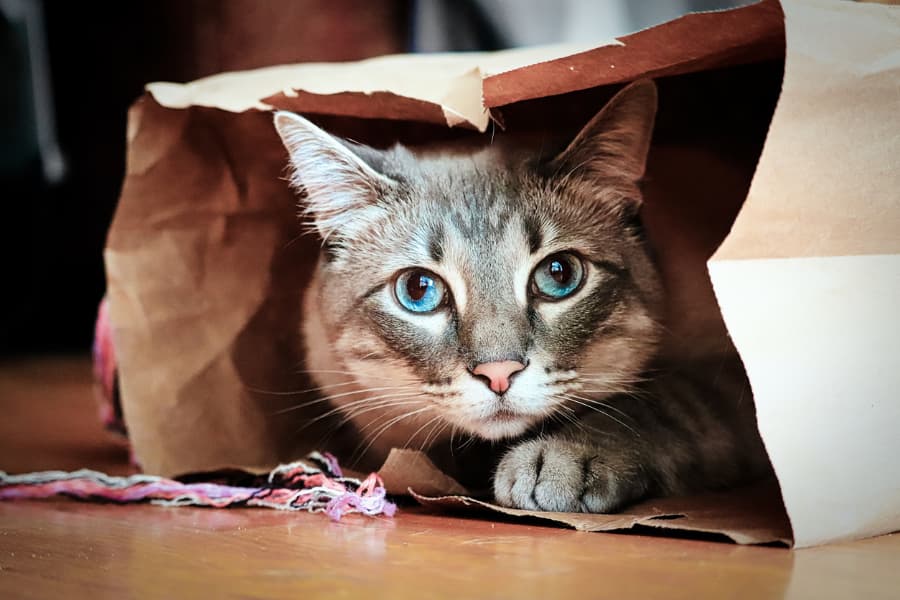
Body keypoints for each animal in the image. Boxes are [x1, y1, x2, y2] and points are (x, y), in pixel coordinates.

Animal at [272, 78, 768, 510]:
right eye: (419, 289)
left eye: (559, 274)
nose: (498, 374)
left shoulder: (732, 382)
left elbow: (654, 402)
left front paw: (560, 459)